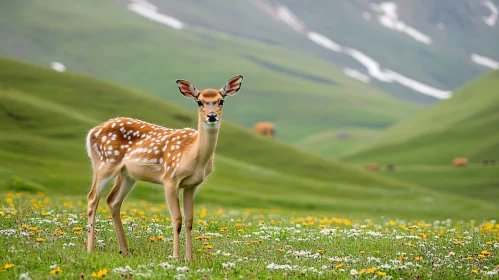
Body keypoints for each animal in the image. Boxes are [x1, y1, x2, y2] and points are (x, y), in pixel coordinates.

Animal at [85, 75, 244, 262]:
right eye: (199, 101)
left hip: (127, 174)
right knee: (92, 198)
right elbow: (177, 220)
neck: (193, 155)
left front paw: (189, 258)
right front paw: (176, 257)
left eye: (221, 101)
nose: (211, 116)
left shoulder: (192, 185)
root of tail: (91, 132)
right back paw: (90, 248)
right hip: (104, 163)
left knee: (113, 200)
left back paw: (125, 250)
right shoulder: (170, 178)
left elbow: (189, 220)